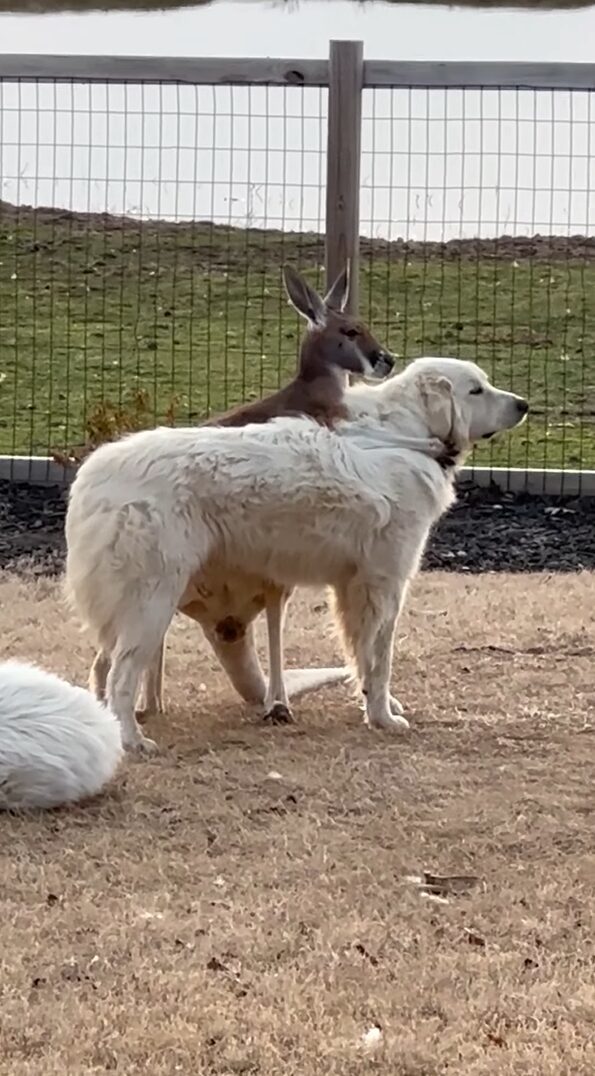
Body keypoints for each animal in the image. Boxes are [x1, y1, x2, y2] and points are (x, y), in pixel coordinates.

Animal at [65, 357, 527, 753]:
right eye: (476, 390)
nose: (524, 404)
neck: (407, 437)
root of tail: (91, 477)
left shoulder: (350, 587)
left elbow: (359, 657)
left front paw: (380, 705)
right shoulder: (383, 584)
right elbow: (379, 660)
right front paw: (382, 717)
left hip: (128, 611)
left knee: (102, 670)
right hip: (152, 604)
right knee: (121, 678)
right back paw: (132, 740)